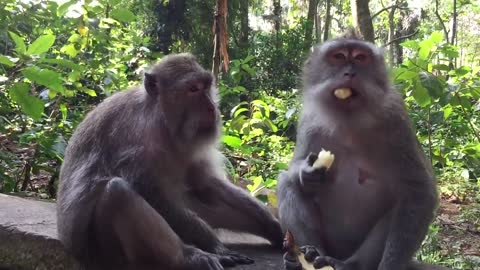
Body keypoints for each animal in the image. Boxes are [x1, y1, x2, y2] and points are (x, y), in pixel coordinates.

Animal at [56, 53, 284, 270]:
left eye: (206, 86)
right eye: (193, 89)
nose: (212, 108)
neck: (163, 122)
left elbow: (206, 183)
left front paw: (272, 225)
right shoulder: (134, 140)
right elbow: (152, 194)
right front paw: (213, 245)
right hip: (103, 249)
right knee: (117, 193)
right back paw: (190, 256)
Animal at [276, 30, 452, 270]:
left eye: (360, 58)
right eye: (339, 57)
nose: (350, 73)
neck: (348, 119)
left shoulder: (396, 120)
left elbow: (419, 190)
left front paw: (390, 266)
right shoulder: (309, 119)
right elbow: (297, 164)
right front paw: (307, 172)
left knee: (400, 206)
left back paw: (350, 264)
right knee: (287, 182)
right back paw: (309, 253)